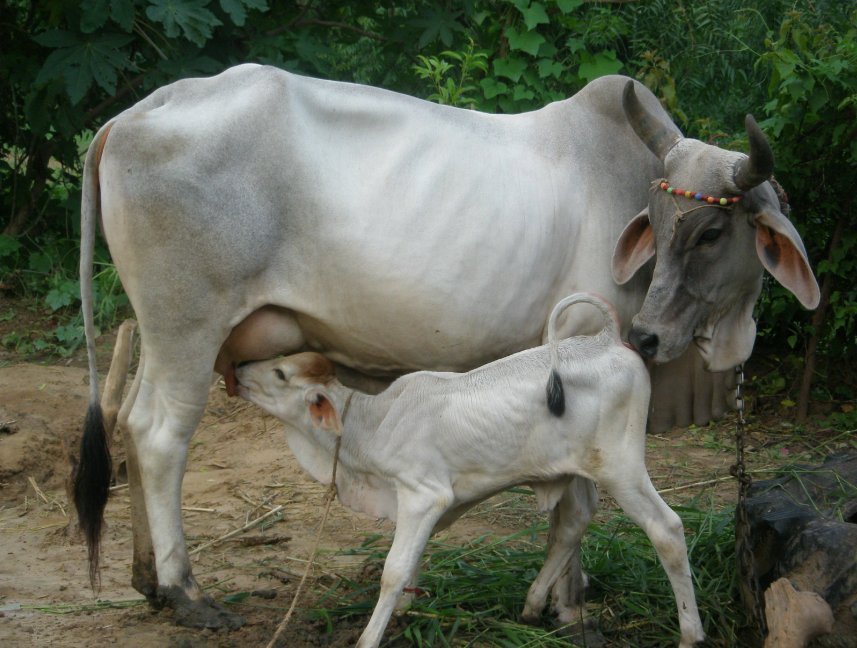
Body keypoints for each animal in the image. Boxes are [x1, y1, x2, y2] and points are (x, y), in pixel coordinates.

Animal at [235, 293, 705, 648]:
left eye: (279, 373)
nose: (238, 368)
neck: (372, 424)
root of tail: (606, 339)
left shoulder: (423, 495)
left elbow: (394, 570)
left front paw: (370, 636)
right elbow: (412, 562)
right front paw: (404, 610)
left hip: (622, 468)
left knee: (666, 530)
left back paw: (691, 634)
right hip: (580, 470)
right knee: (573, 524)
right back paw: (532, 606)